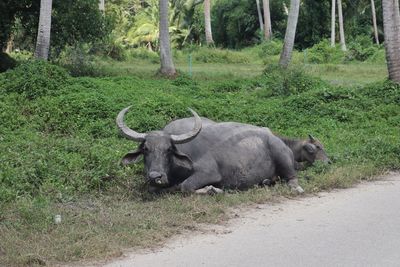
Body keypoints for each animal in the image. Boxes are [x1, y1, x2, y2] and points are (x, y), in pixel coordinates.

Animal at [116, 107, 304, 195]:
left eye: (168, 149)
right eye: (145, 149)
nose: (156, 176)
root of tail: (271, 135)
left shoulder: (209, 173)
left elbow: (185, 186)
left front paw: (213, 190)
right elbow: (155, 188)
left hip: (281, 155)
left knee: (292, 178)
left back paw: (295, 187)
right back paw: (265, 182)